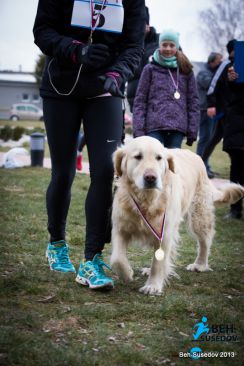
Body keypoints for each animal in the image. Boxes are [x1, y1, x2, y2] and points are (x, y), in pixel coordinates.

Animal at [111, 136, 244, 296]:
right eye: (138, 156)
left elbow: (158, 262)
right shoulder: (120, 227)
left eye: (159, 158)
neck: (147, 199)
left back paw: (200, 264)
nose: (151, 178)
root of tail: (195, 155)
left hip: (198, 217)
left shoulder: (165, 233)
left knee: (205, 242)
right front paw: (126, 273)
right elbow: (117, 258)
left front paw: (153, 285)